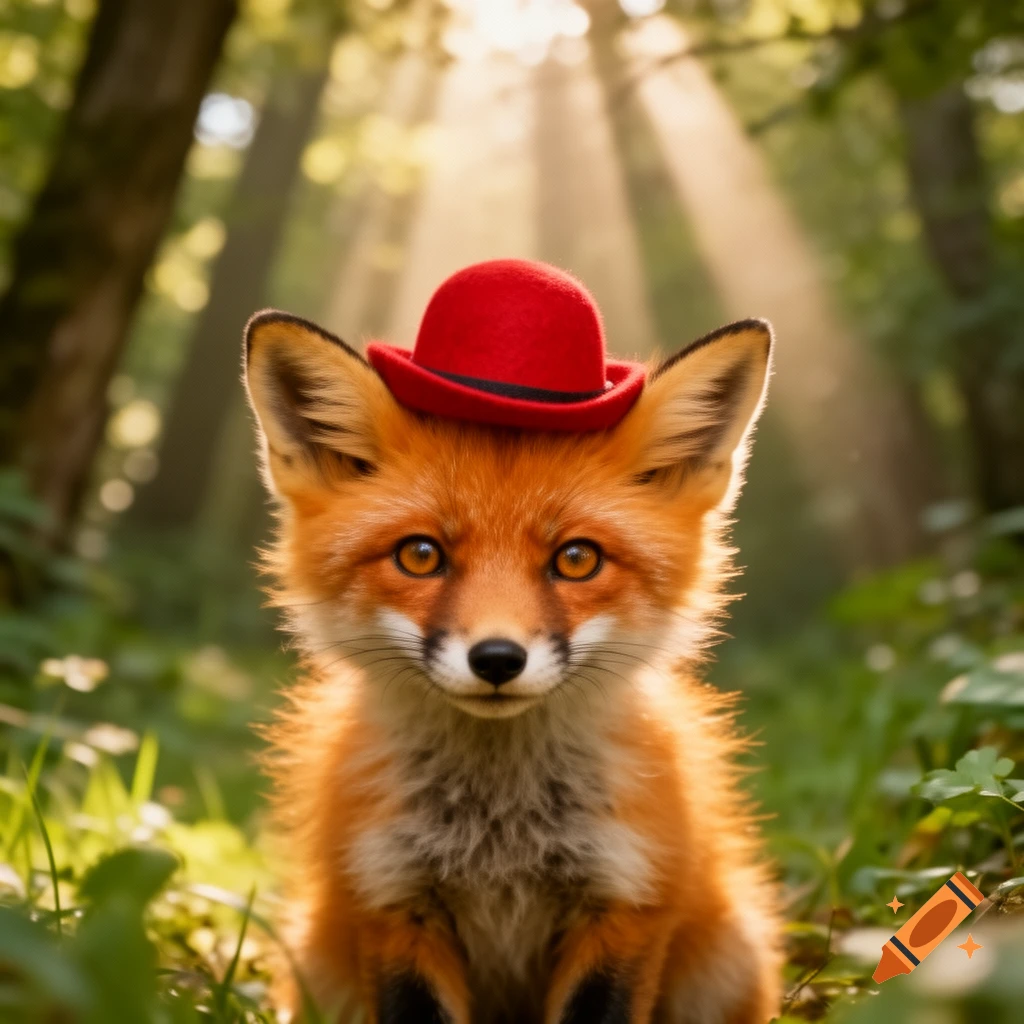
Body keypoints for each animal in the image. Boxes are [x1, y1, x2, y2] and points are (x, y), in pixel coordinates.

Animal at [243, 304, 783, 1024]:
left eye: (577, 559)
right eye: (420, 555)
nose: (497, 659)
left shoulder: (625, 901)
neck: (500, 834)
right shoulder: (392, 901)